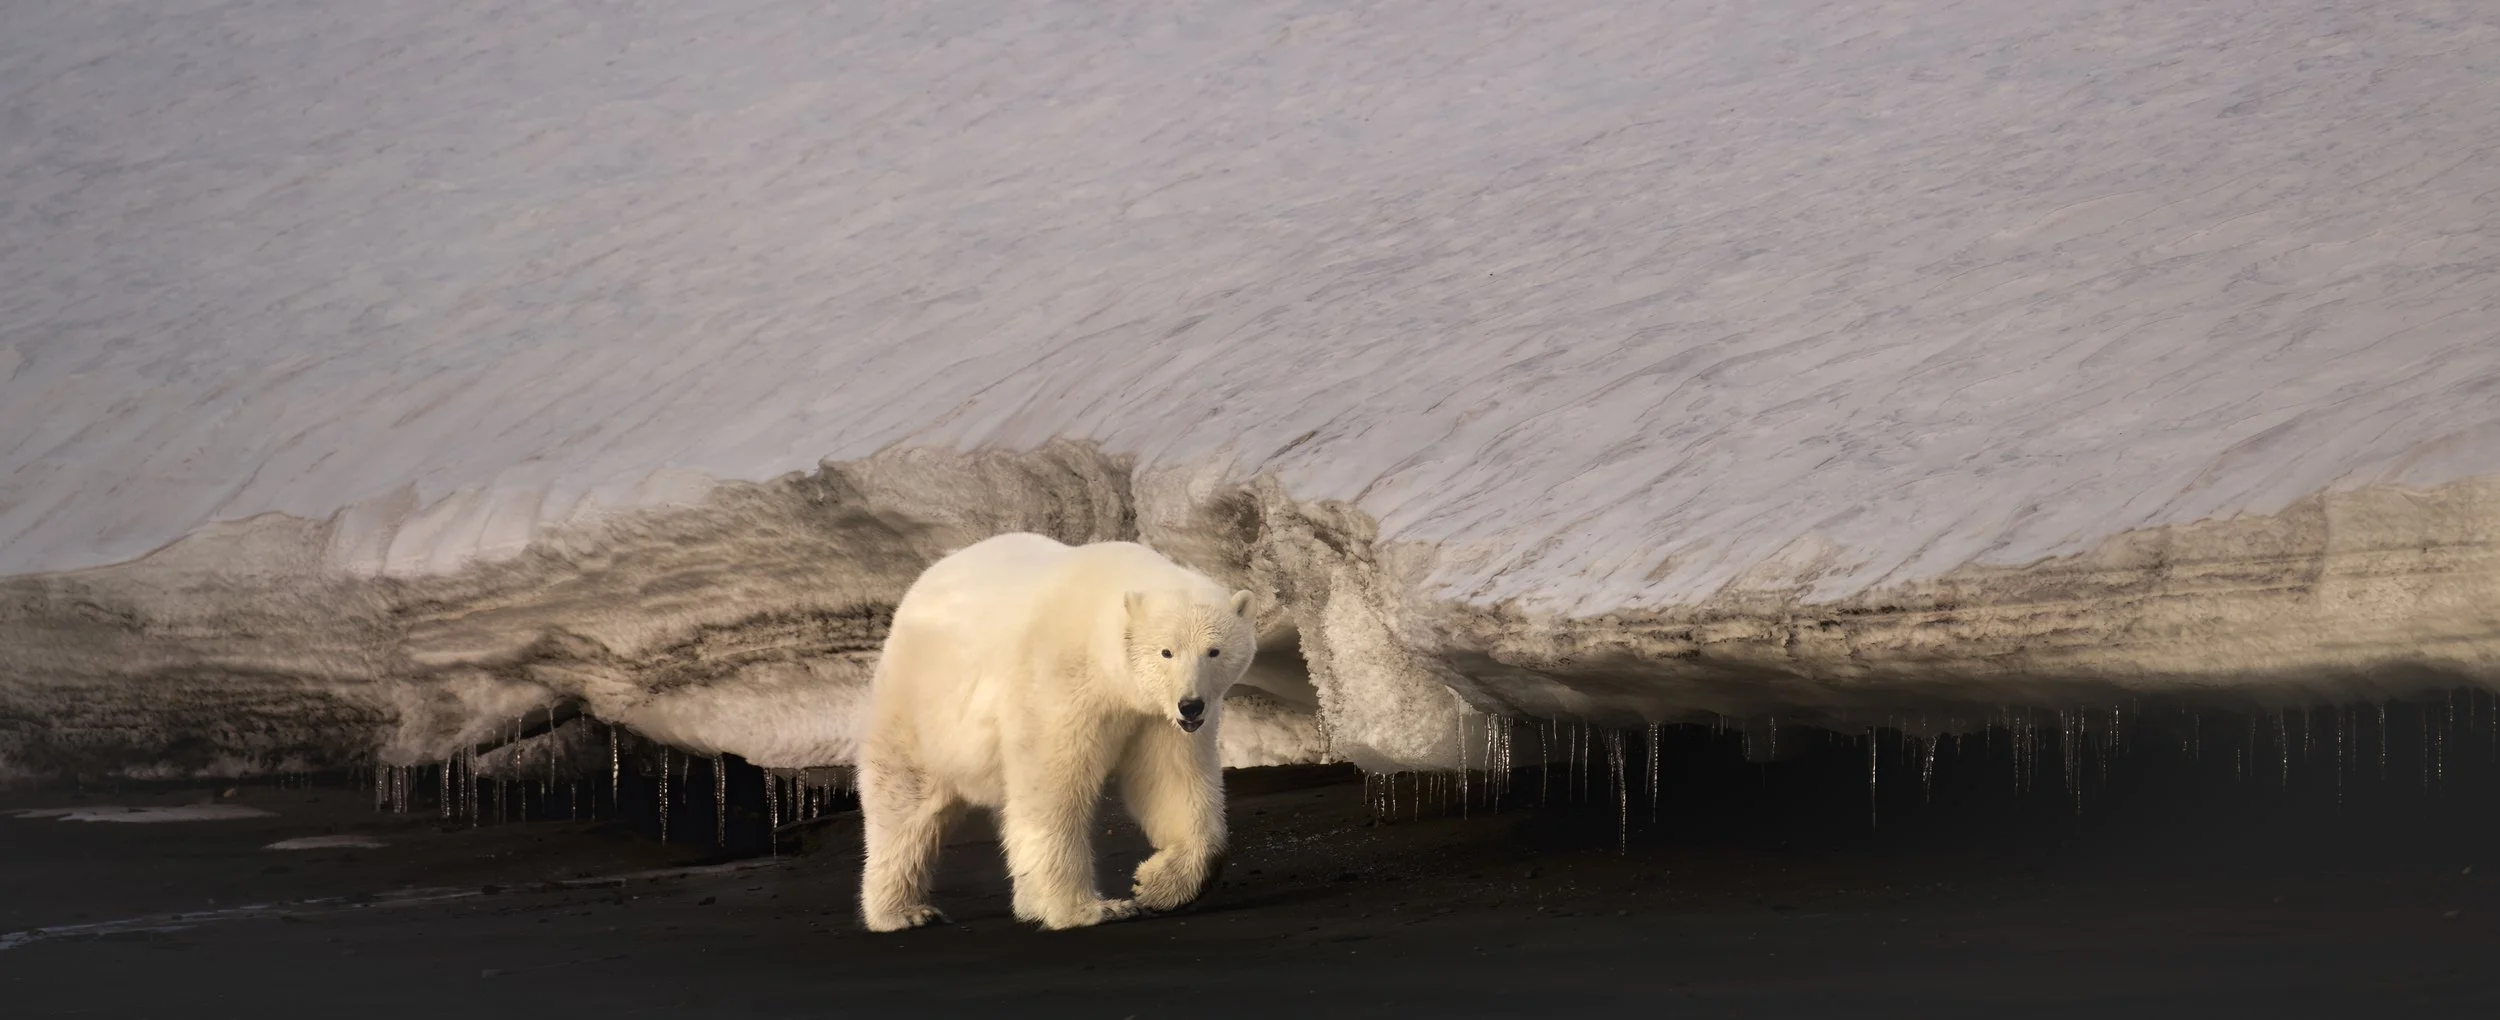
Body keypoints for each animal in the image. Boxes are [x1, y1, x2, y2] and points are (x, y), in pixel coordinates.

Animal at [855, 532, 1258, 932]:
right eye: (1166, 652)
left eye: (1214, 651)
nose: (1191, 705)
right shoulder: (1058, 681)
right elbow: (1051, 788)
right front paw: (1092, 909)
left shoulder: (1156, 718)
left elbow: (1173, 782)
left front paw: (1157, 885)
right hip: (920, 704)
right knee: (906, 801)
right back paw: (903, 912)